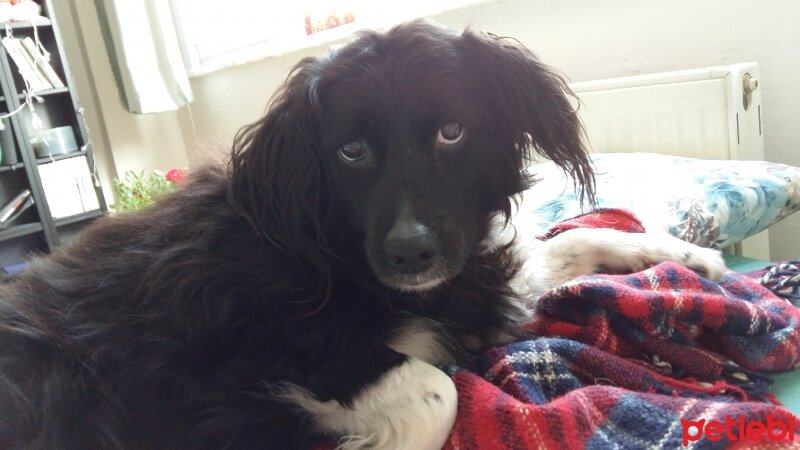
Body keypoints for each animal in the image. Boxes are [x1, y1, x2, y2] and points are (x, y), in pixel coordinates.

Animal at [0, 19, 724, 450]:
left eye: (452, 132)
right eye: (351, 151)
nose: (410, 252)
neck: (336, 252)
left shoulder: (479, 279)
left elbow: (576, 240)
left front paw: (694, 258)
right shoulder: (253, 361)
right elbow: (438, 394)